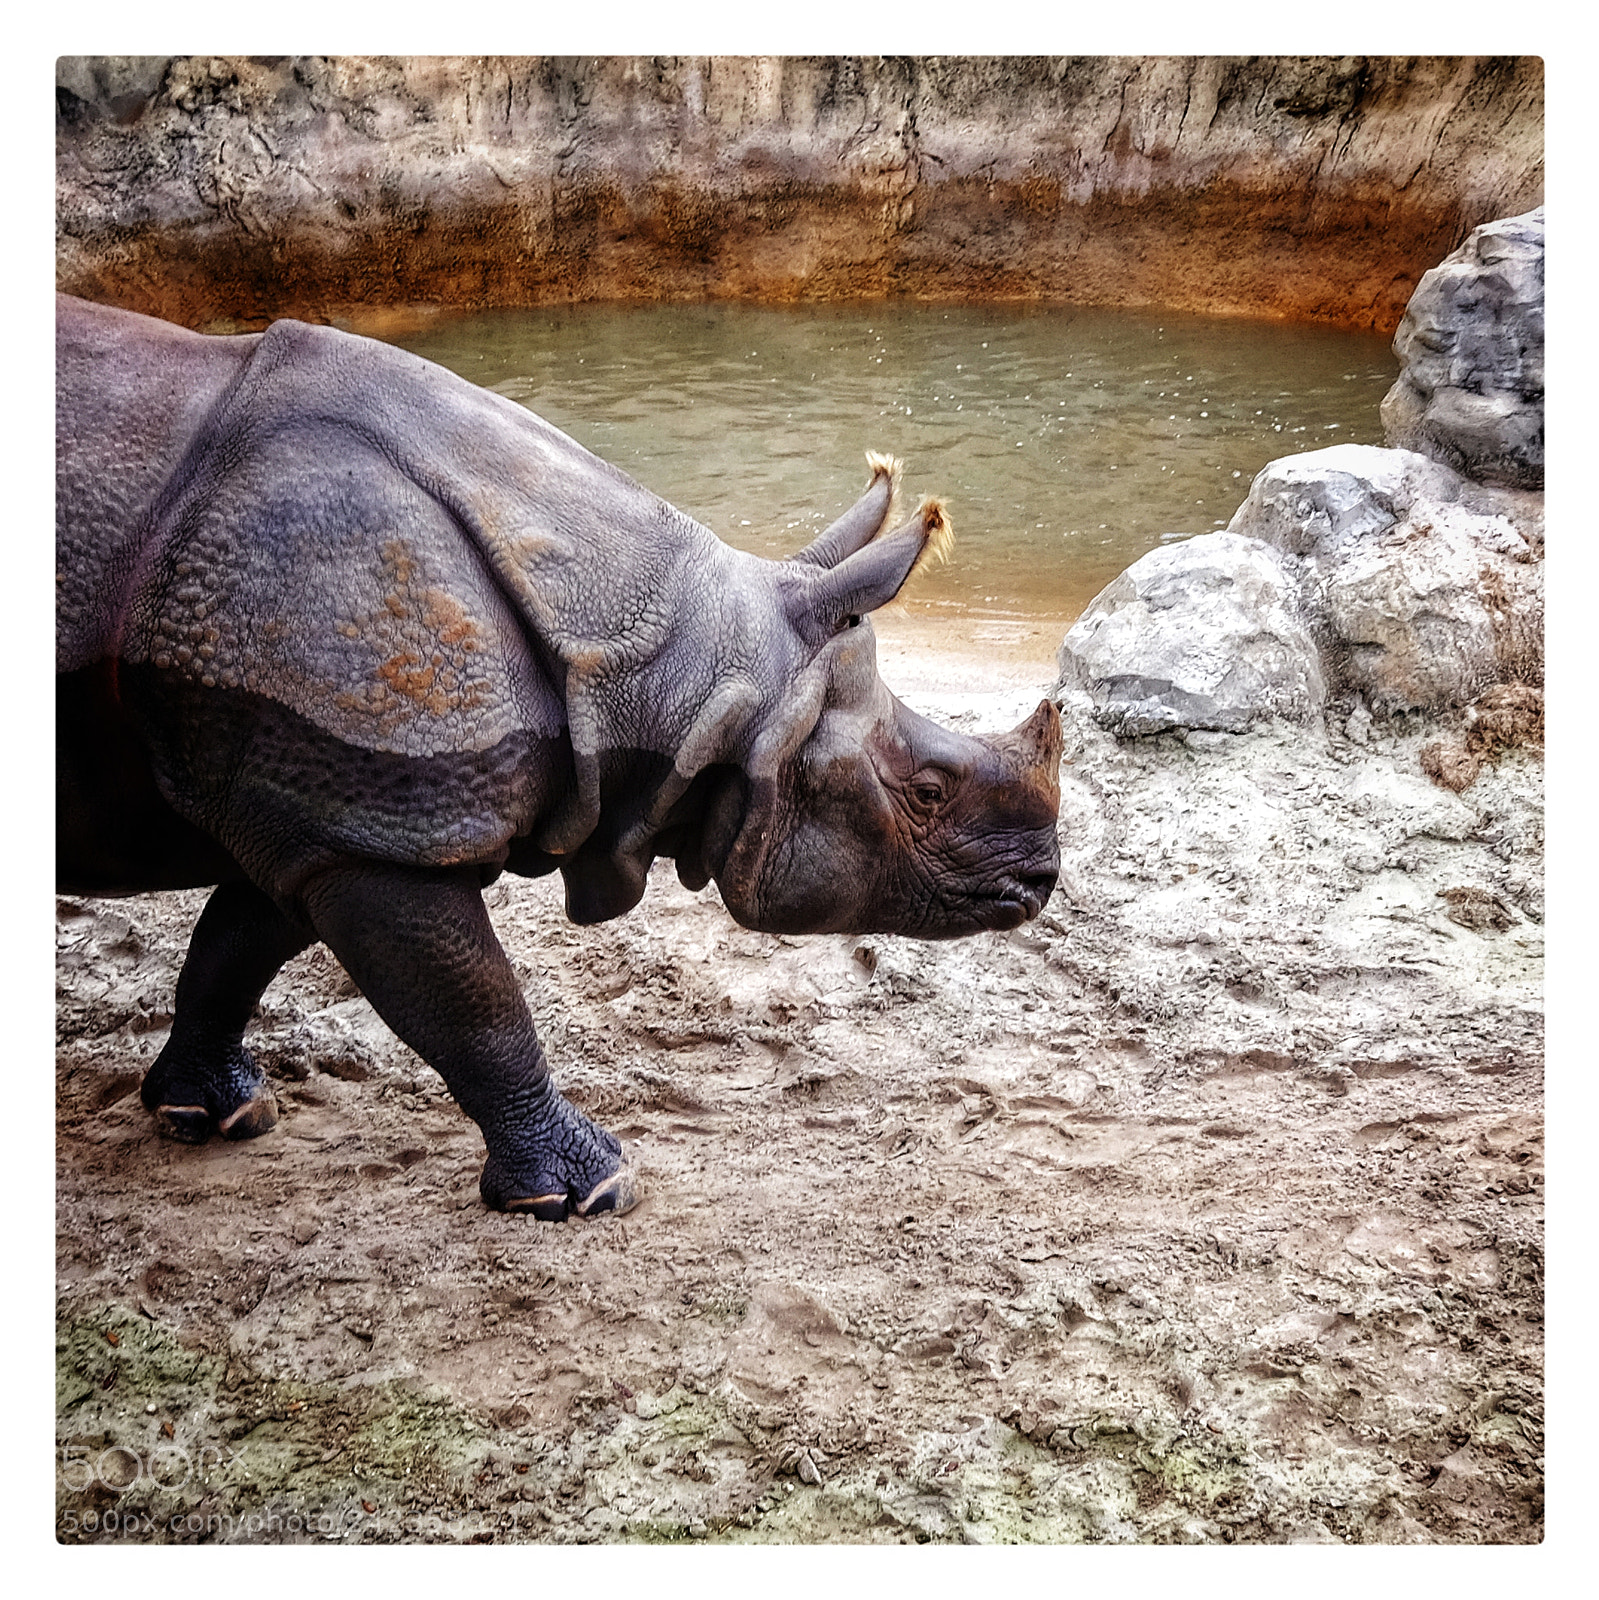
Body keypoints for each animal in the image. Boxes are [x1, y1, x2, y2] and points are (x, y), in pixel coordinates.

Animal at [56, 294, 1064, 1219]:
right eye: (926, 791)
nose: (1044, 880)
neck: (673, 671)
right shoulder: (371, 822)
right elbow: (477, 1006)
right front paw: (586, 1190)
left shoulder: (330, 802)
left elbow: (237, 941)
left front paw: (216, 1113)